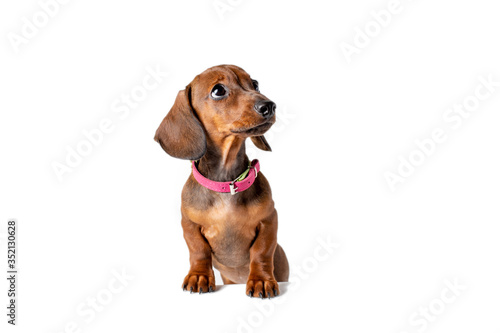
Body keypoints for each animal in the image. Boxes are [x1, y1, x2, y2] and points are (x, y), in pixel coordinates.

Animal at [155, 63, 290, 296]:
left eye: (255, 84)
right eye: (218, 90)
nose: (269, 106)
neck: (226, 184)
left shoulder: (269, 219)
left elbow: (262, 251)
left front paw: (261, 280)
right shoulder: (189, 224)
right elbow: (198, 250)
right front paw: (199, 276)